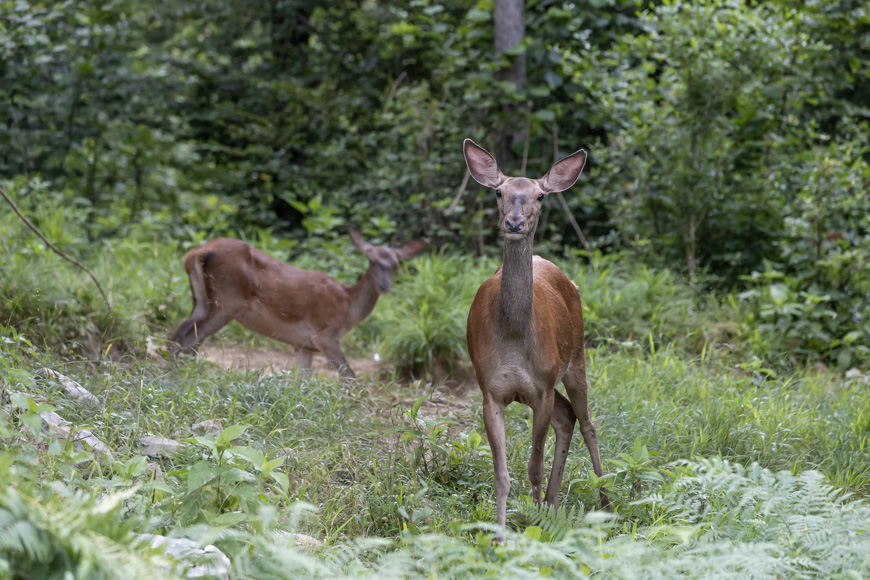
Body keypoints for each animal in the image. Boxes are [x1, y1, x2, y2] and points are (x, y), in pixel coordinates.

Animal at [169, 229, 428, 378]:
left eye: (396, 264)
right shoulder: (326, 335)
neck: (349, 308)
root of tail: (195, 253)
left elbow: (301, 382)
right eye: (372, 260)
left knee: (177, 337)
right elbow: (350, 377)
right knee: (189, 341)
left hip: (202, 302)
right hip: (228, 300)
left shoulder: (304, 345)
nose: (385, 285)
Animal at [464, 137, 612, 536]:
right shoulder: (491, 390)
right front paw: (502, 534)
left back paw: (606, 502)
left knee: (587, 422)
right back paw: (553, 501)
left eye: (540, 196)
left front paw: (537, 527)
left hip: (577, 357)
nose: (514, 223)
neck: (514, 339)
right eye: (498, 192)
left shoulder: (542, 387)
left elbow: (533, 466)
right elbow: (502, 475)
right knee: (569, 417)